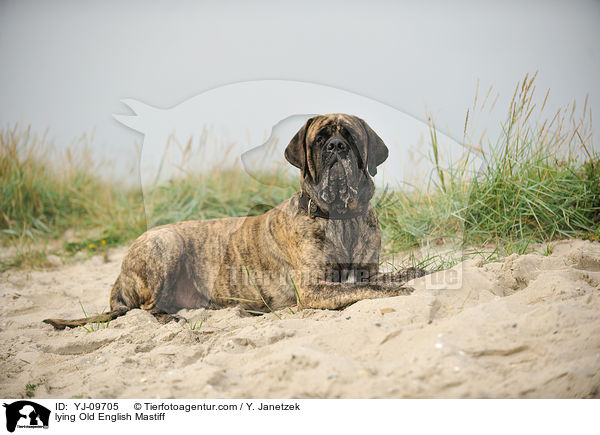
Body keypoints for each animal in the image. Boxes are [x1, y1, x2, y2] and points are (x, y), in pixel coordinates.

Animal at [44, 113, 424, 330]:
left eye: (352, 137)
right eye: (320, 140)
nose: (336, 147)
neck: (342, 217)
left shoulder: (365, 269)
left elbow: (379, 277)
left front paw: (413, 271)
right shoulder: (314, 289)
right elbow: (365, 289)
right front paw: (397, 289)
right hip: (165, 242)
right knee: (148, 307)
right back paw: (171, 319)